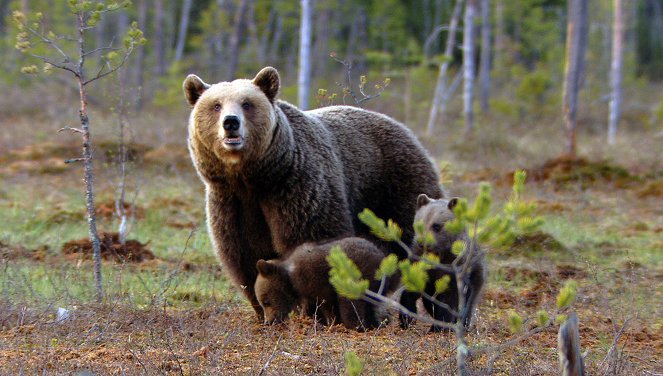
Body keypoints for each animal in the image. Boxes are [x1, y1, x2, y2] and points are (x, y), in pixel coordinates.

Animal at [183, 67, 440, 318]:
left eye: (247, 103)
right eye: (216, 105)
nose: (230, 122)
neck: (254, 177)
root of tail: (405, 130)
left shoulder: (295, 187)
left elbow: (310, 237)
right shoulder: (231, 202)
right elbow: (243, 254)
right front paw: (261, 306)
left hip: (396, 186)